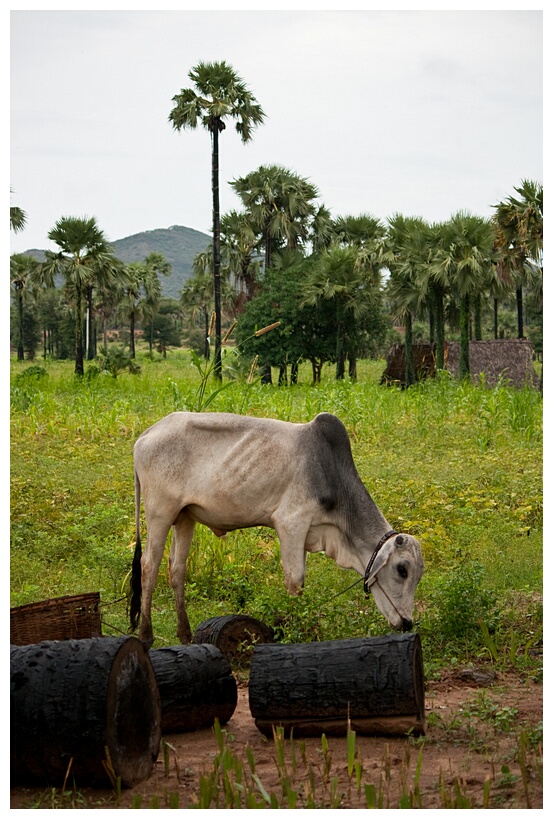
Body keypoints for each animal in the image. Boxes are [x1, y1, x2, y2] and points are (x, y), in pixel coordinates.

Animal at [129, 410, 422, 648]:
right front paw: (294, 632)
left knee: (176, 568)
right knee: (149, 566)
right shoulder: (291, 523)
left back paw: (185, 635)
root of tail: (146, 434)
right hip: (159, 512)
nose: (407, 622)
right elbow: (295, 580)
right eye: (402, 570)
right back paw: (146, 635)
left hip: (185, 517)